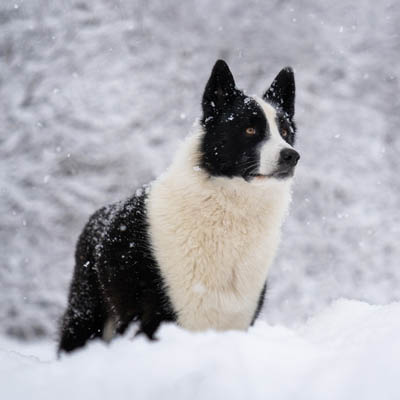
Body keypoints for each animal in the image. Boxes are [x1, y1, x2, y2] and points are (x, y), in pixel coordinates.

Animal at [57, 59, 298, 354]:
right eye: (250, 130)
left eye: (285, 132)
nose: (291, 156)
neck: (228, 211)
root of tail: (97, 216)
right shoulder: (159, 320)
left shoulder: (237, 320)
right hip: (86, 315)